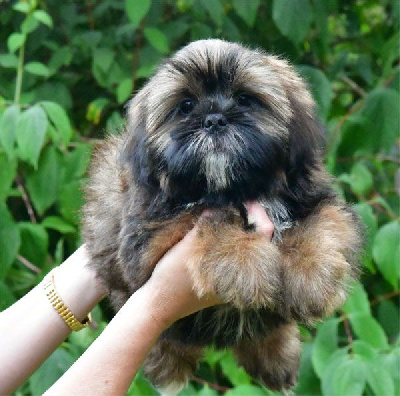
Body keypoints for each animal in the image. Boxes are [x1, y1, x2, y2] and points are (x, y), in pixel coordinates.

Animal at [83, 38, 364, 392]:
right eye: (186, 106)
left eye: (245, 99)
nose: (214, 119)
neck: (231, 187)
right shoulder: (147, 238)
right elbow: (210, 216)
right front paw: (241, 260)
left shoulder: (317, 200)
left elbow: (324, 225)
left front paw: (312, 277)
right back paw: (169, 366)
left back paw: (276, 358)